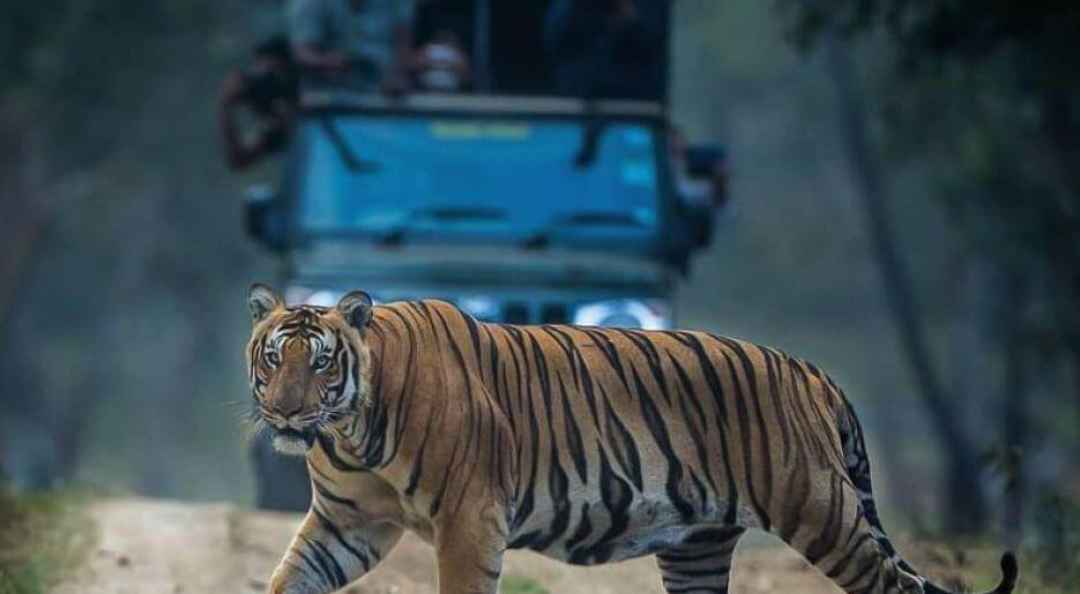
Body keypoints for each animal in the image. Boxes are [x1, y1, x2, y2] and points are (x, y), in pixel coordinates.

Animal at [247, 285, 1019, 594]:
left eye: (322, 363)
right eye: (273, 359)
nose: (285, 414)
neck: (352, 434)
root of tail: (812, 372)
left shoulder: (470, 520)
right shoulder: (348, 525)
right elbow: (290, 578)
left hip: (823, 515)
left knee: (900, 587)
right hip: (698, 551)